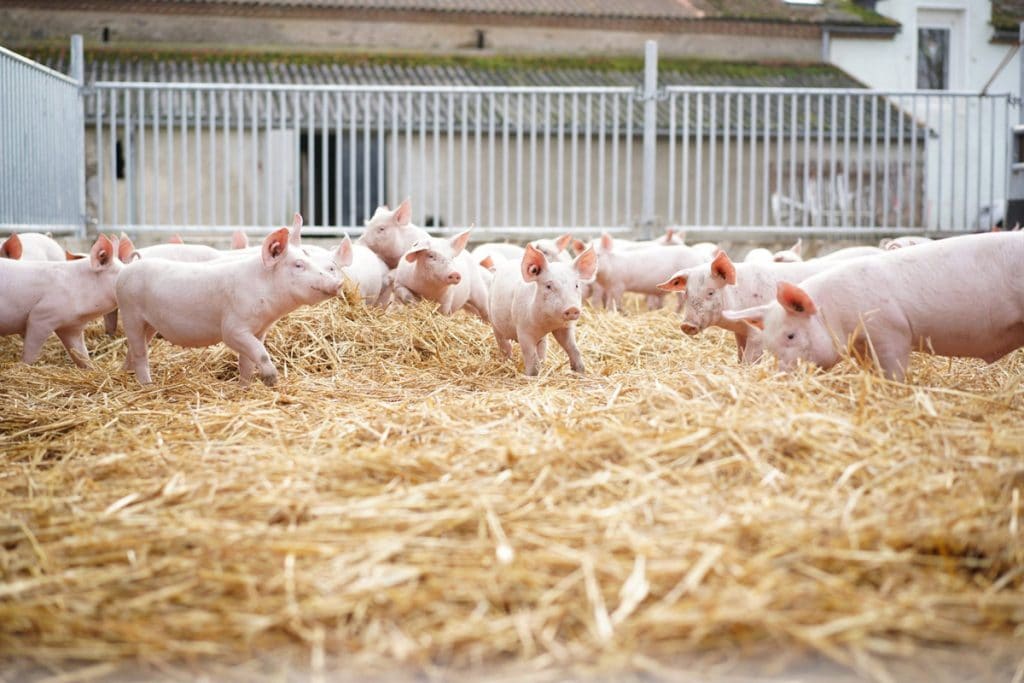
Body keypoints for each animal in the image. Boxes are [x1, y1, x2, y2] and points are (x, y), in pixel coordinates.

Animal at [0, 234, 135, 367]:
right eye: (120, 273)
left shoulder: (72, 327)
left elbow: (81, 355)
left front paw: (91, 368)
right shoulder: (40, 317)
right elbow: (30, 353)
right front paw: (22, 367)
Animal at [116, 227, 343, 386]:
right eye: (298, 265)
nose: (338, 283)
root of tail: (126, 270)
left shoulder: (259, 330)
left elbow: (247, 360)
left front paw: (245, 386)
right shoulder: (233, 328)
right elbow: (259, 351)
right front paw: (272, 380)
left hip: (149, 324)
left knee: (135, 349)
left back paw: (125, 374)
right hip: (130, 313)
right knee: (140, 353)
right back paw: (147, 385)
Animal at [489, 243, 598, 376]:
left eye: (576, 285)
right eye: (549, 286)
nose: (572, 308)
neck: (547, 324)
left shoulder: (565, 327)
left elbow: (574, 349)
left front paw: (580, 373)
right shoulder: (523, 330)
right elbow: (532, 359)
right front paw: (531, 376)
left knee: (542, 346)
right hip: (494, 321)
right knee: (504, 344)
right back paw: (507, 362)